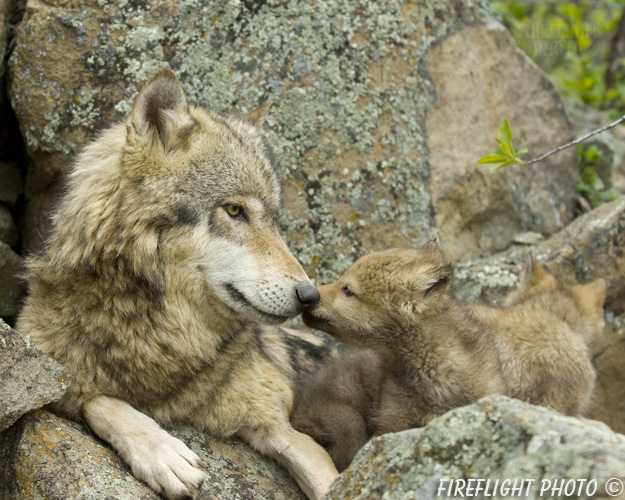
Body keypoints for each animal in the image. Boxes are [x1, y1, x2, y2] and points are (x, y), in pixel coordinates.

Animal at [17, 68, 336, 500]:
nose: (310, 295)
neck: (159, 335)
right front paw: (162, 453)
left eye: (274, 221)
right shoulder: (50, 367)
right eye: (234, 210)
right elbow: (99, 399)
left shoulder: (281, 426)